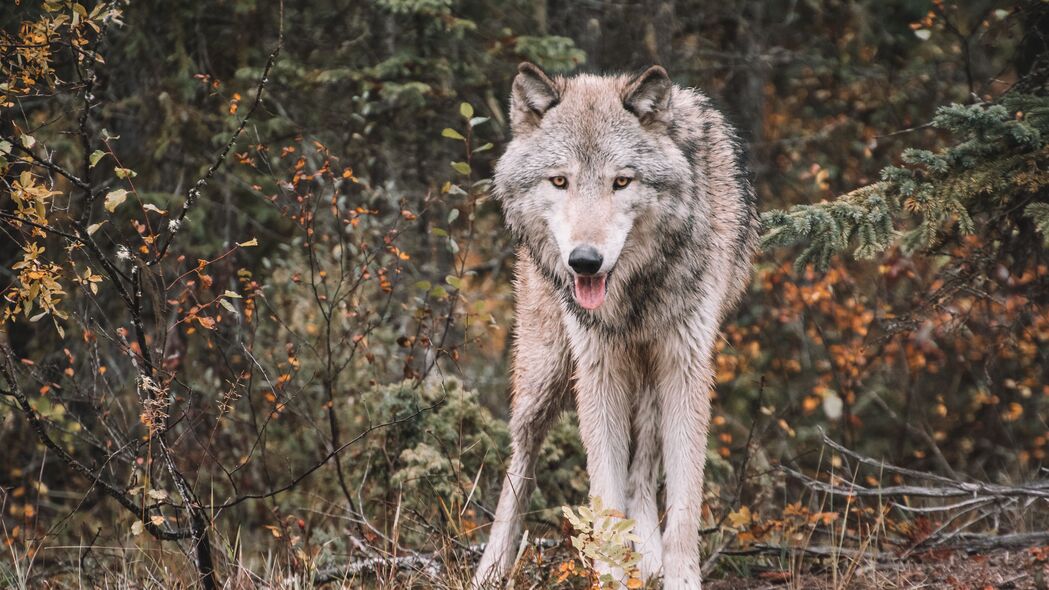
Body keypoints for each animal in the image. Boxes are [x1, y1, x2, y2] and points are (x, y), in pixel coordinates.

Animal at [472, 61, 759, 583]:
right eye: (559, 181)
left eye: (621, 182)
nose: (585, 261)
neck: (635, 291)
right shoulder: (598, 367)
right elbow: (604, 492)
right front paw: (608, 574)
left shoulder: (685, 365)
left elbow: (683, 501)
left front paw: (678, 576)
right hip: (545, 374)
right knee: (520, 459)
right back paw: (490, 569)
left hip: (645, 380)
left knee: (642, 468)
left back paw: (647, 556)